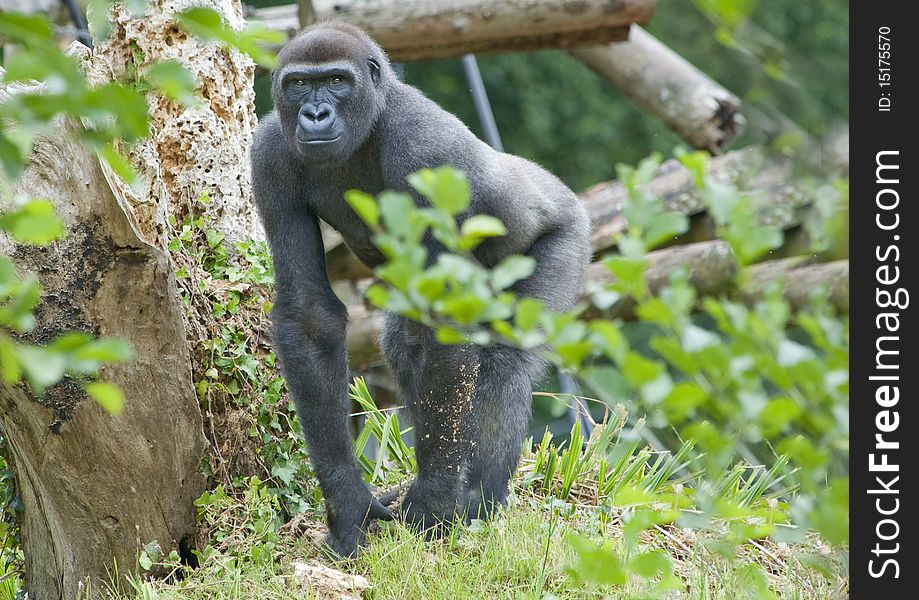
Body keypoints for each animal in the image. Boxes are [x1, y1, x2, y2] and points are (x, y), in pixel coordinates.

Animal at [252, 22, 588, 556]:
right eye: (300, 85)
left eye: (337, 81)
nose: (316, 113)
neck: (371, 119)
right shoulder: (268, 156)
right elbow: (309, 315)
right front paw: (348, 504)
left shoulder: (426, 153)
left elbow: (445, 315)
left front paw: (433, 503)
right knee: (406, 345)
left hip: (567, 237)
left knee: (507, 359)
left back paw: (478, 500)